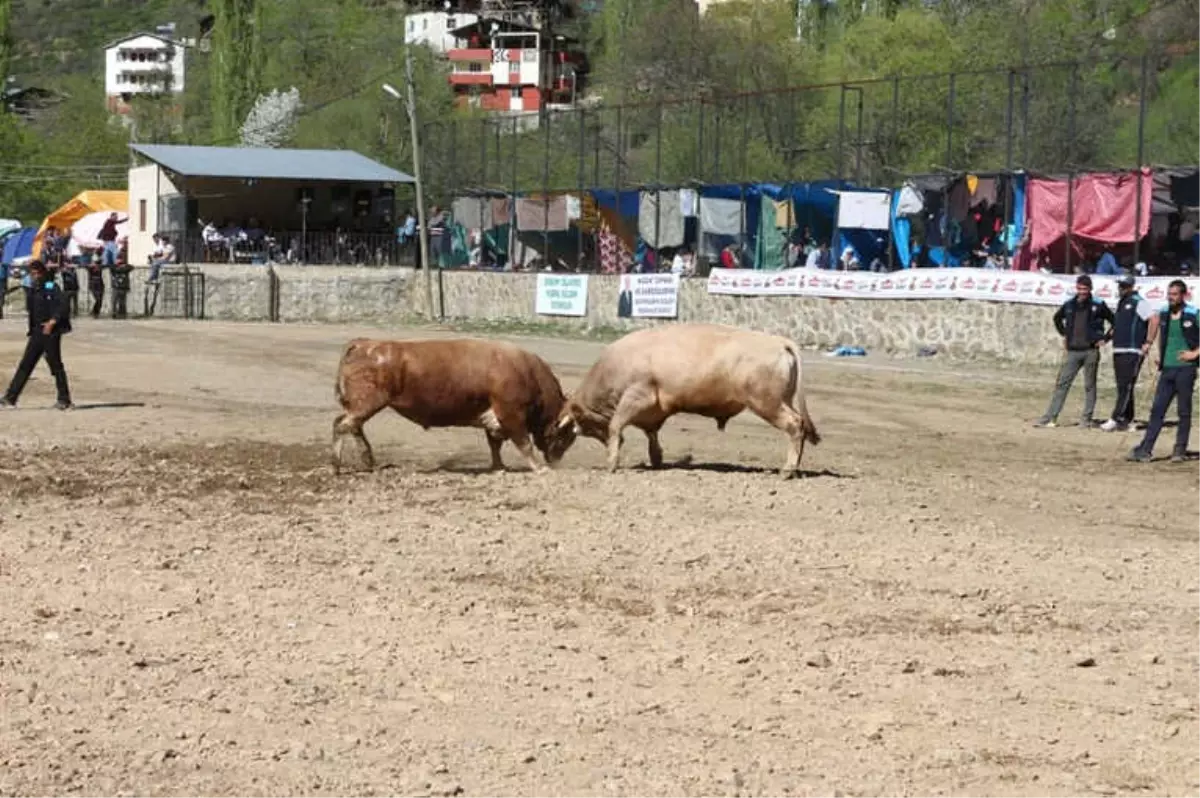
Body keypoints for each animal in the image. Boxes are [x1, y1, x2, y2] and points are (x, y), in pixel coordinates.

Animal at [333, 336, 576, 472]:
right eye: (567, 435)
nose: (556, 460)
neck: (526, 371)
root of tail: (364, 344)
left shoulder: (494, 419)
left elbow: (494, 445)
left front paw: (499, 466)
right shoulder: (511, 415)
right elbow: (524, 443)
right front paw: (538, 468)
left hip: (361, 406)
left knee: (352, 426)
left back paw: (367, 461)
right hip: (367, 403)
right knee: (342, 425)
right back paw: (337, 465)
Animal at [554, 321, 820, 475]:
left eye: (576, 428)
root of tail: (779, 341)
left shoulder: (636, 397)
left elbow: (616, 426)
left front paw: (612, 462)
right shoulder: (653, 412)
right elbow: (652, 436)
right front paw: (657, 459)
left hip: (767, 403)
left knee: (795, 425)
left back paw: (788, 469)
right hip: (782, 401)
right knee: (801, 426)